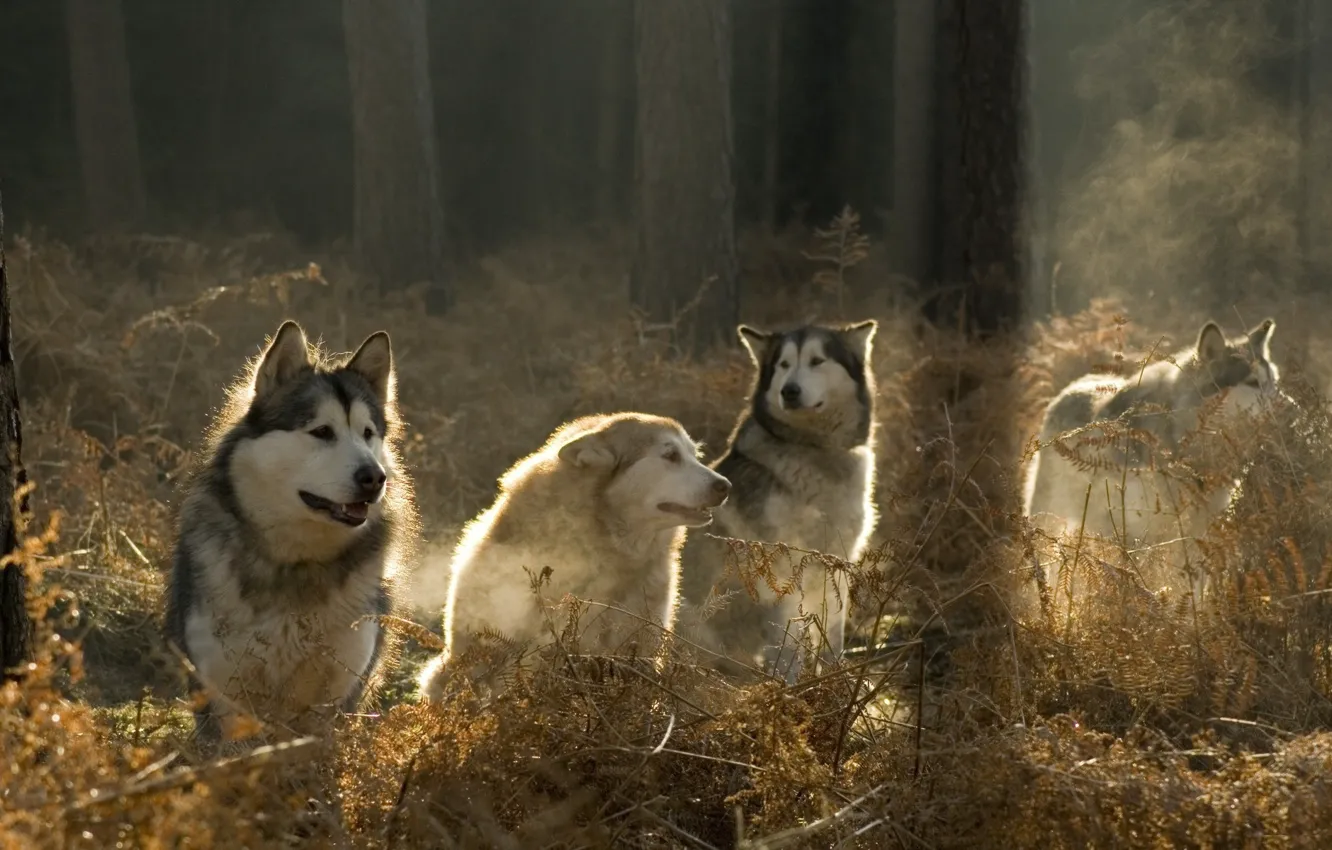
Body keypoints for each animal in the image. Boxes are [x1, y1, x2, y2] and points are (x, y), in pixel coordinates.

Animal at [164, 320, 418, 741]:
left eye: (368, 433)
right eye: (322, 431)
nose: (374, 477)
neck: (295, 563)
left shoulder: (336, 699)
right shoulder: (225, 698)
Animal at [678, 320, 879, 681]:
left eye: (817, 361)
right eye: (784, 365)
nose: (790, 391)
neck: (813, 449)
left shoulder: (837, 564)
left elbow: (833, 636)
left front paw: (834, 681)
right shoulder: (781, 570)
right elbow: (787, 645)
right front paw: (791, 687)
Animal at [1022, 318, 1281, 597]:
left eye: (1273, 383)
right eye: (1253, 383)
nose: (1292, 406)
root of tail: (1070, 388)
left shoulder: (1195, 535)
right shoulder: (1141, 534)